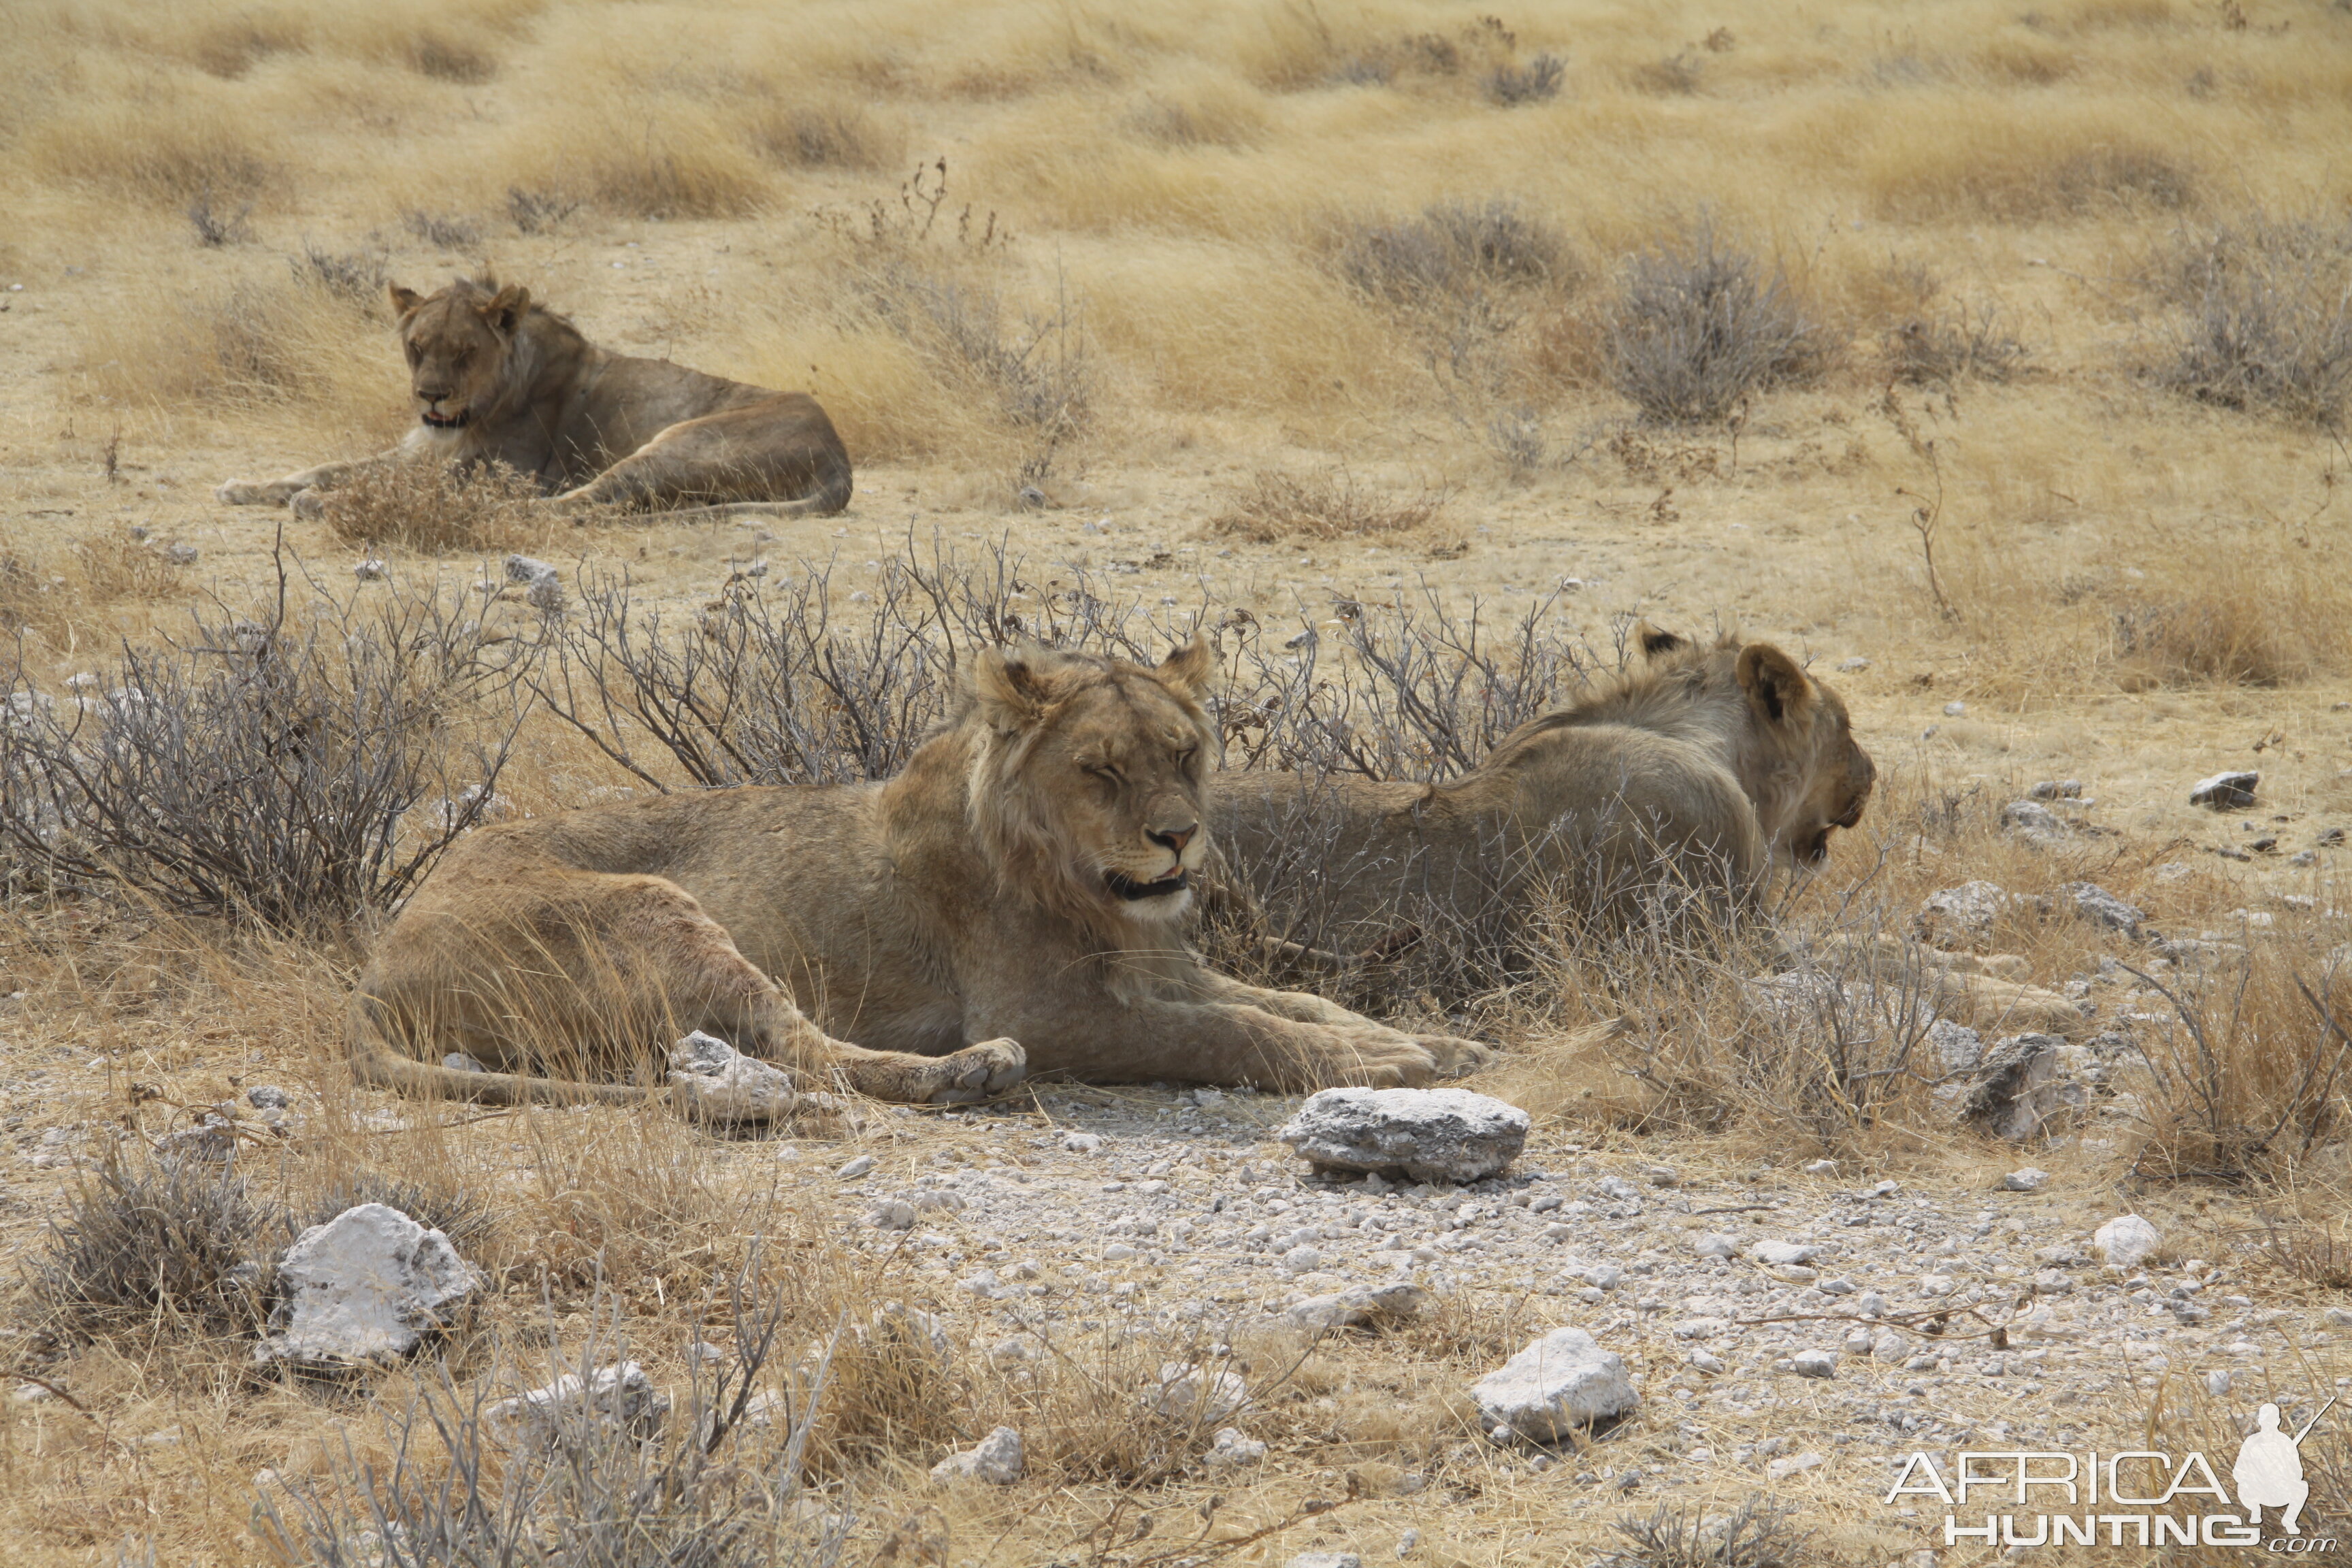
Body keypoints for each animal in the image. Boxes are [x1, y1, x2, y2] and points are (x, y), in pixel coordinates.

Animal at [218, 278, 855, 524]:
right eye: (417, 347)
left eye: (465, 351)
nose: (430, 397)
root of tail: (840, 459)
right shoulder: (421, 449)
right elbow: (330, 466)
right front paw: (247, 486)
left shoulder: (499, 468)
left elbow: (385, 484)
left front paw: (320, 502)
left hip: (683, 440)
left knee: (587, 500)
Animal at [348, 630, 1486, 1109]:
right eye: (1102, 769)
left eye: (1185, 755)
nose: (1179, 839)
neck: (1089, 890)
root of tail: (378, 956)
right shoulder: (1056, 1011)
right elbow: (1231, 1033)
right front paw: (1386, 1066)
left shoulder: (1166, 965)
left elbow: (1295, 1000)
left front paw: (1428, 1042)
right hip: (655, 914)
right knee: (805, 1055)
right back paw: (967, 1073)